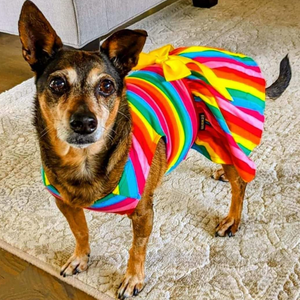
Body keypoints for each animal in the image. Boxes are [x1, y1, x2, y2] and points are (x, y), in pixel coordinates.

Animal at [18, 1, 290, 298]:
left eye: (106, 85)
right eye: (57, 84)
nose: (85, 123)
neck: (84, 161)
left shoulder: (143, 214)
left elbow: (136, 249)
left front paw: (132, 278)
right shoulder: (64, 203)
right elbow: (80, 232)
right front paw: (80, 257)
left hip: (226, 133)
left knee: (240, 183)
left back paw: (232, 218)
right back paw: (221, 173)